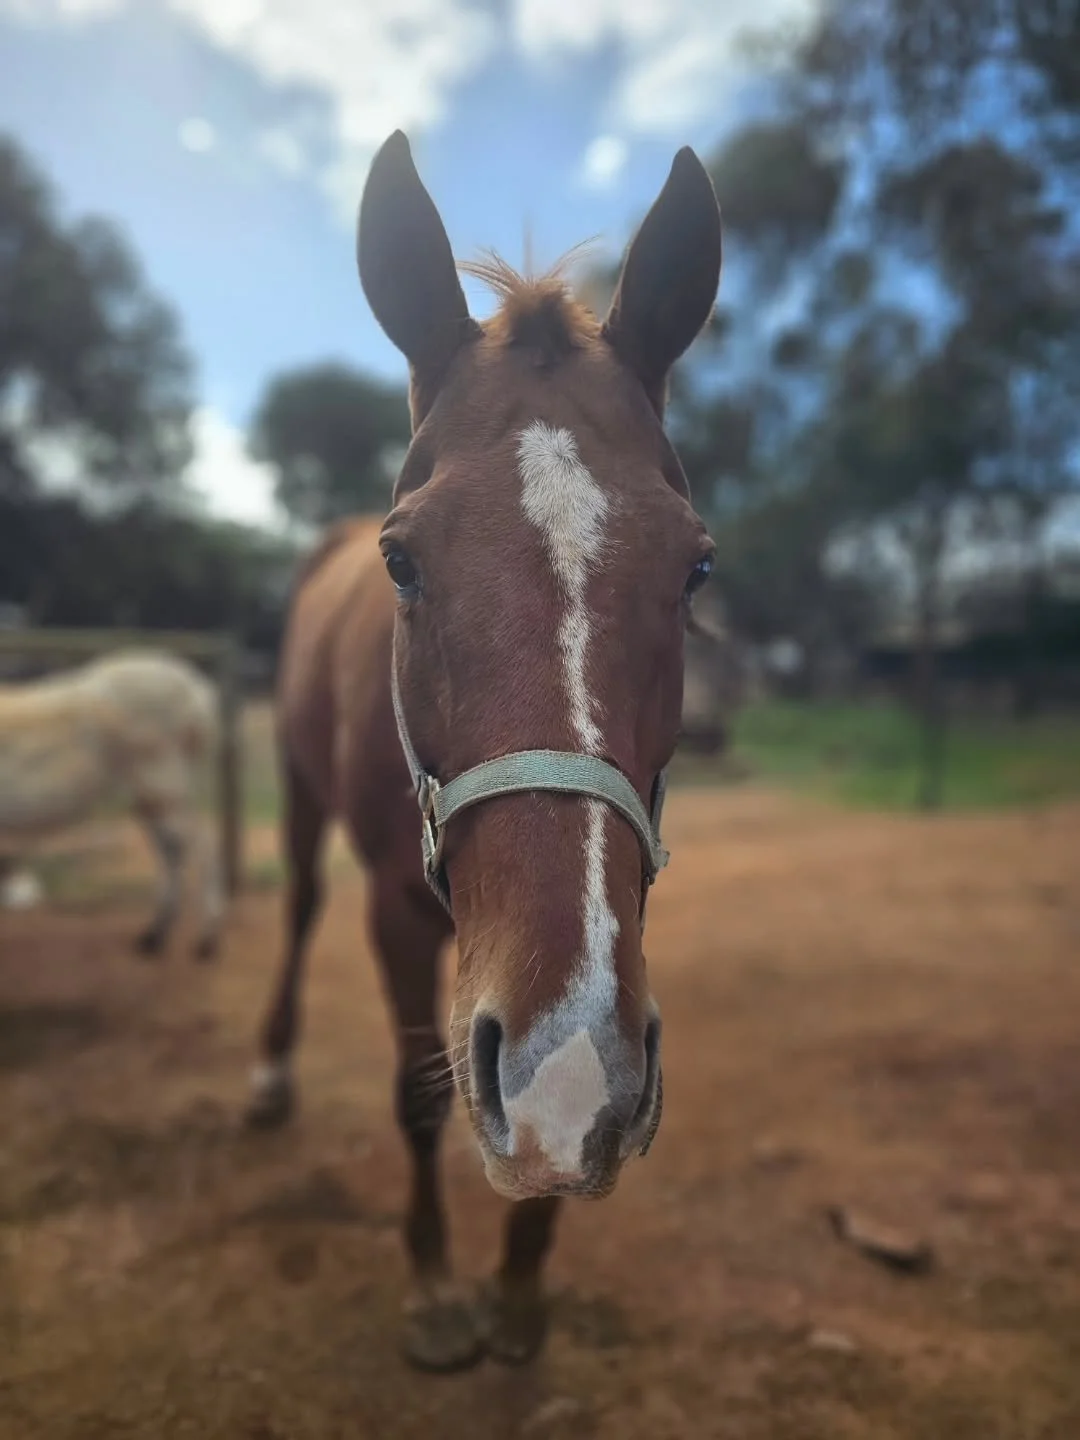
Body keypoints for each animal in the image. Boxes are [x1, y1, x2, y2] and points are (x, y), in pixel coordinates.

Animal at [0, 649, 223, 957]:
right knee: (172, 851)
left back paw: (206, 942)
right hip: (151, 796)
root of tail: (198, 692)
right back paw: (154, 937)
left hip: (164, 785)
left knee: (200, 846)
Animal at [245, 130, 723, 1371]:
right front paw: (433, 1288)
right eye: (402, 560)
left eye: (697, 567)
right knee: (297, 906)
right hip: (301, 801)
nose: (562, 1080)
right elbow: (419, 1095)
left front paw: (518, 1284)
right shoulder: (396, 910)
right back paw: (269, 1073)